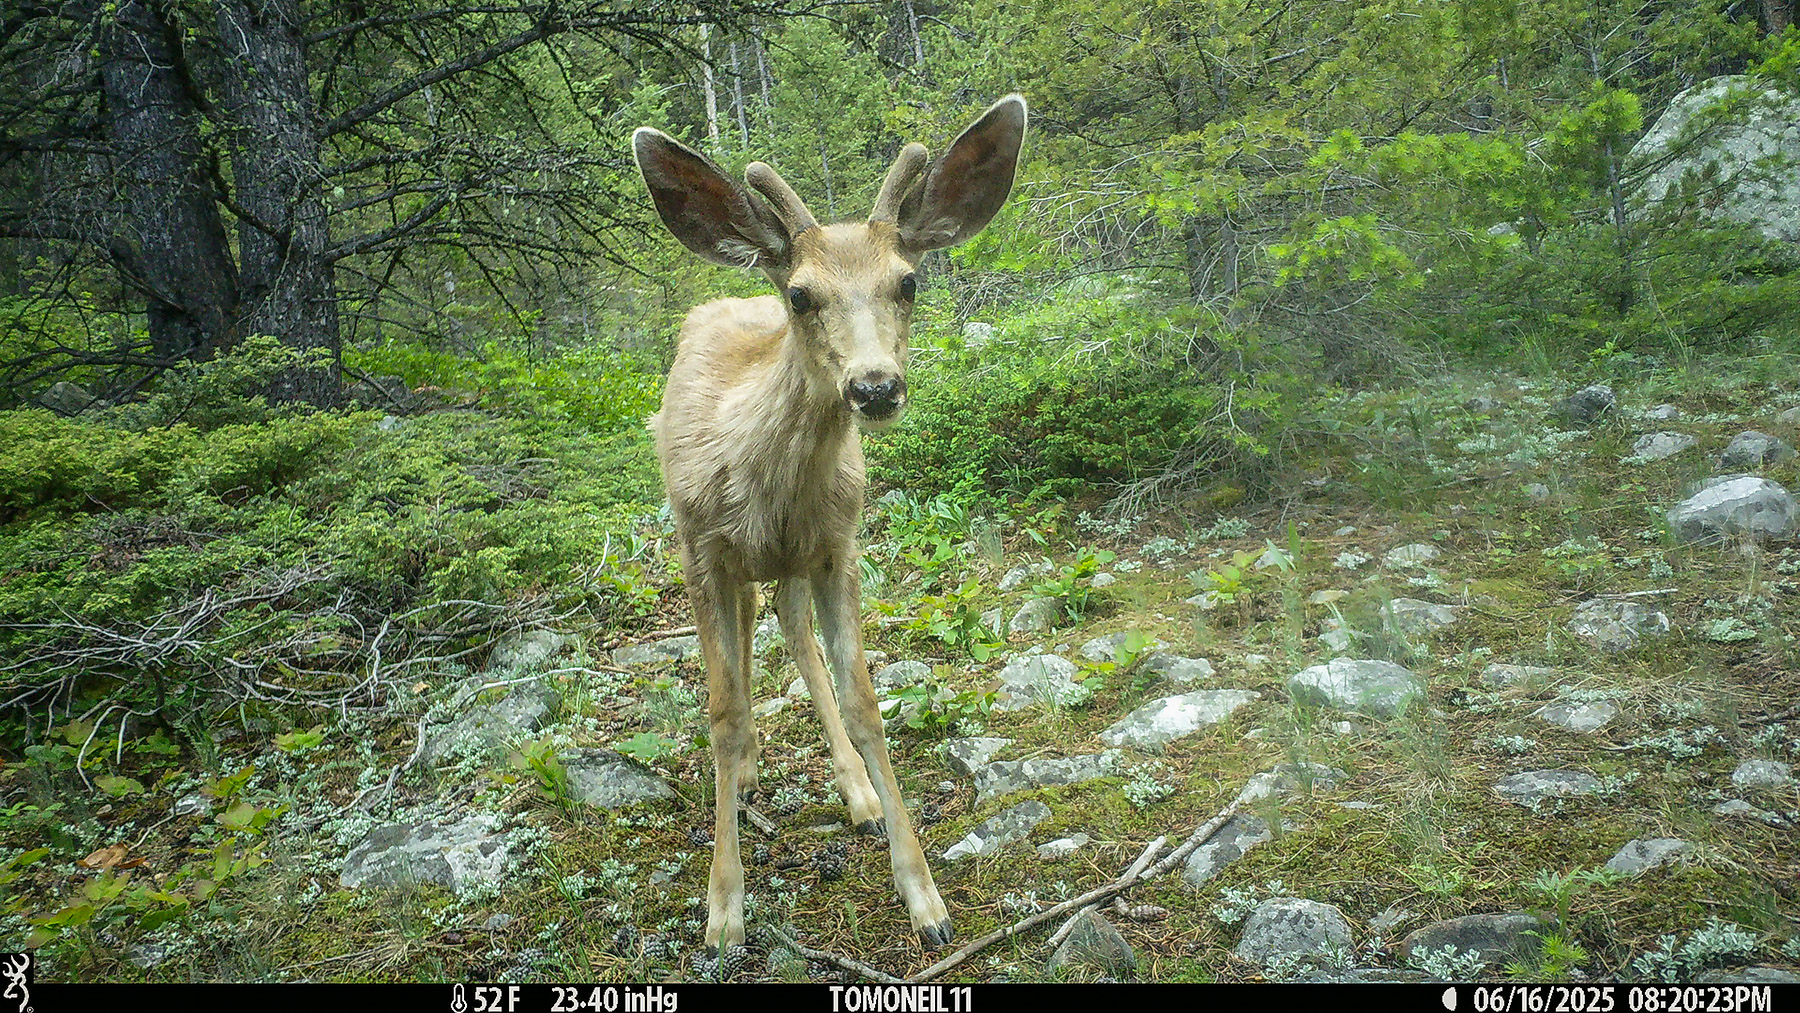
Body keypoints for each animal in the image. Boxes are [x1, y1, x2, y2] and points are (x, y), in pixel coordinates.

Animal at [631, 95, 1027, 957]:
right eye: (803, 296)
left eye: (908, 281)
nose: (875, 386)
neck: (761, 475)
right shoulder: (700, 550)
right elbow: (720, 710)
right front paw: (723, 911)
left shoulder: (838, 548)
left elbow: (865, 701)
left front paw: (925, 898)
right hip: (721, 555)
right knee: (749, 637)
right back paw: (749, 772)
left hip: (794, 559)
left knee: (784, 622)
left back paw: (853, 791)